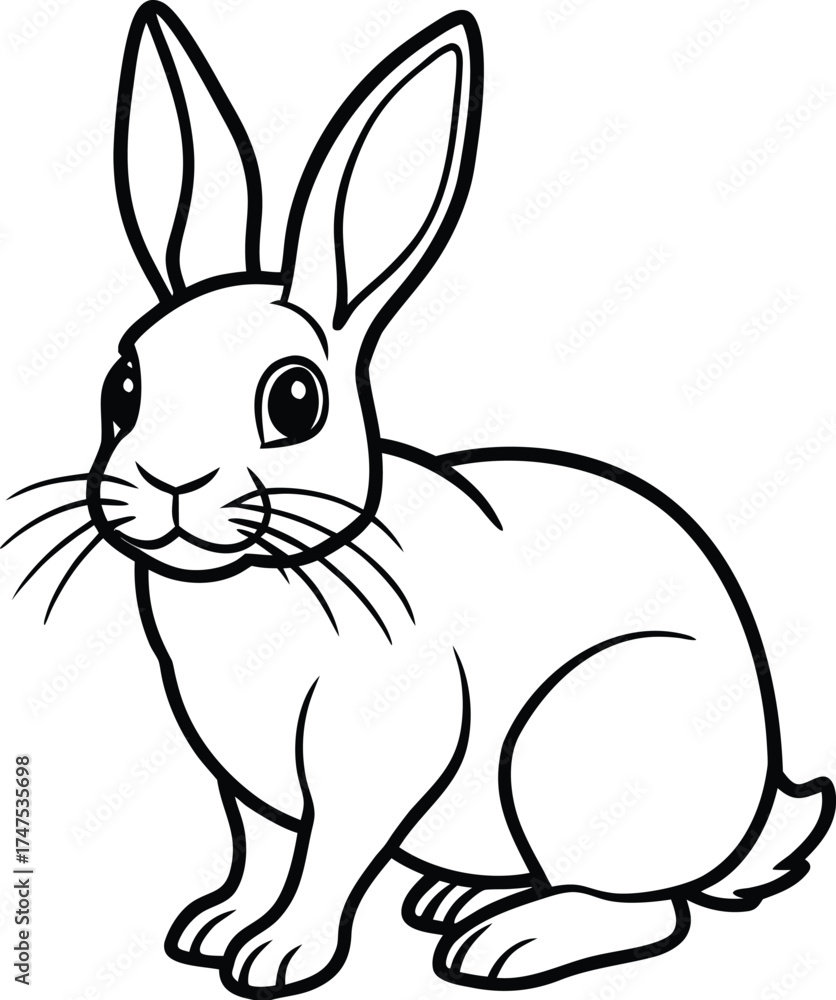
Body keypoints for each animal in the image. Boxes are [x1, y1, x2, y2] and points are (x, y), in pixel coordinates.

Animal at [8, 3, 833, 997]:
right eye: (123, 387)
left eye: (296, 400)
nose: (171, 483)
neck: (276, 567)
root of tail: (750, 817)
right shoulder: (242, 780)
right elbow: (259, 851)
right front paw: (214, 929)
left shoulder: (371, 758)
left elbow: (327, 860)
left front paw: (277, 956)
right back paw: (455, 899)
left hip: (579, 748)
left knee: (647, 908)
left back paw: (505, 942)